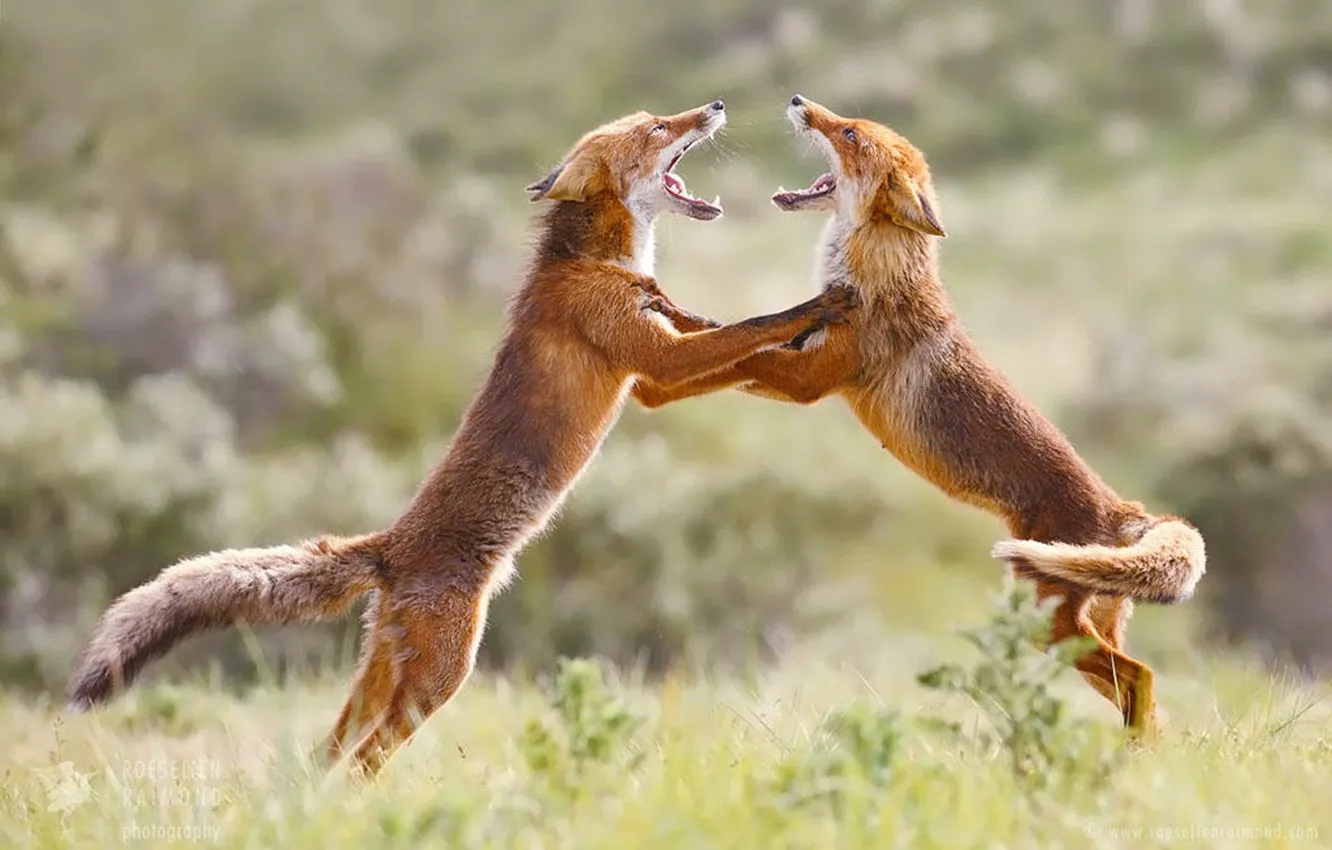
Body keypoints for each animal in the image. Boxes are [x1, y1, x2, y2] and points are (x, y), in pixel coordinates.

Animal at [64, 99, 860, 775]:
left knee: (325, 757)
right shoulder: (650, 358)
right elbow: (748, 328)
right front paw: (814, 307)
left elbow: (719, 335)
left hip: (383, 677)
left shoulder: (653, 379)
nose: (716, 105)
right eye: (659, 126)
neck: (597, 261)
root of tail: (388, 547)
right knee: (362, 760)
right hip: (437, 681)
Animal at [637, 95, 1206, 736]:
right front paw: (667, 314)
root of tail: (1123, 510)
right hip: (1078, 630)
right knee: (1142, 693)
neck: (876, 273)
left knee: (1142, 678)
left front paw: (665, 350)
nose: (799, 102)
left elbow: (739, 350)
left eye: (850, 134)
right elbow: (727, 333)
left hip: (1051, 627)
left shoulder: (812, 378)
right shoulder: (803, 351)